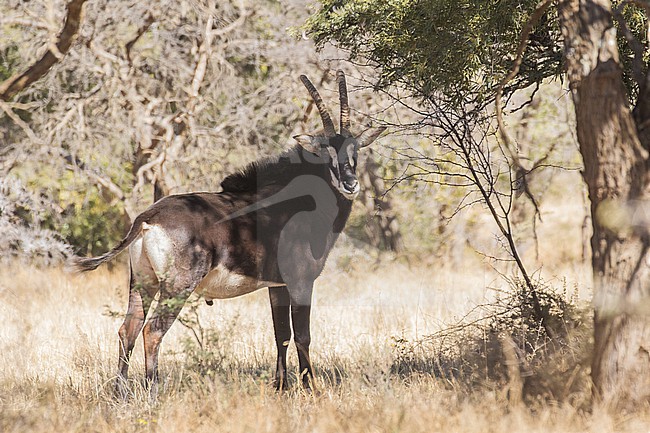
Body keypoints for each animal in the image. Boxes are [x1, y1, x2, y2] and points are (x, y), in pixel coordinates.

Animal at [69, 71, 386, 397]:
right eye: (323, 152)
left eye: (355, 150)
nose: (350, 183)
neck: (301, 200)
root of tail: (149, 217)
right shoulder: (301, 281)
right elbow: (302, 336)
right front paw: (310, 388)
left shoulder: (277, 285)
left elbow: (281, 334)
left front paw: (280, 386)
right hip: (176, 287)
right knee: (152, 331)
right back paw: (153, 391)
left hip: (143, 282)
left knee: (128, 328)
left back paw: (120, 393)